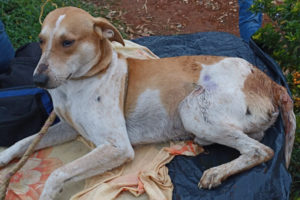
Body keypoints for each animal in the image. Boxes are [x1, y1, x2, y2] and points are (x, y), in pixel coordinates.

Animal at [0, 6, 296, 200]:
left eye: (67, 42)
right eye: (41, 41)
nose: (37, 79)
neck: (79, 83)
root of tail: (271, 81)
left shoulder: (117, 146)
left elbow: (58, 173)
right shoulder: (69, 127)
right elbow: (23, 142)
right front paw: (3, 158)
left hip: (192, 109)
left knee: (261, 150)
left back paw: (216, 172)